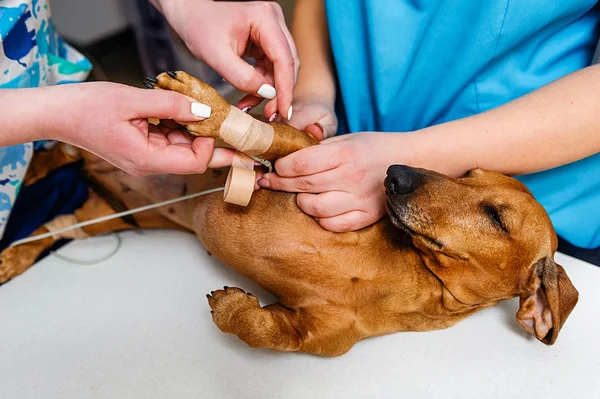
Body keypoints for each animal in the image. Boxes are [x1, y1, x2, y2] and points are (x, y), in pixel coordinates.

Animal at [0, 72, 576, 356]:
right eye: (467, 173)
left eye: (497, 217)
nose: (394, 173)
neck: (399, 268)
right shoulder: (305, 150)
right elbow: (274, 134)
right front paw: (207, 108)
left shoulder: (314, 336)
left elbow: (263, 333)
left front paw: (233, 308)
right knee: (57, 155)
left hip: (110, 214)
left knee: (53, 223)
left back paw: (13, 252)